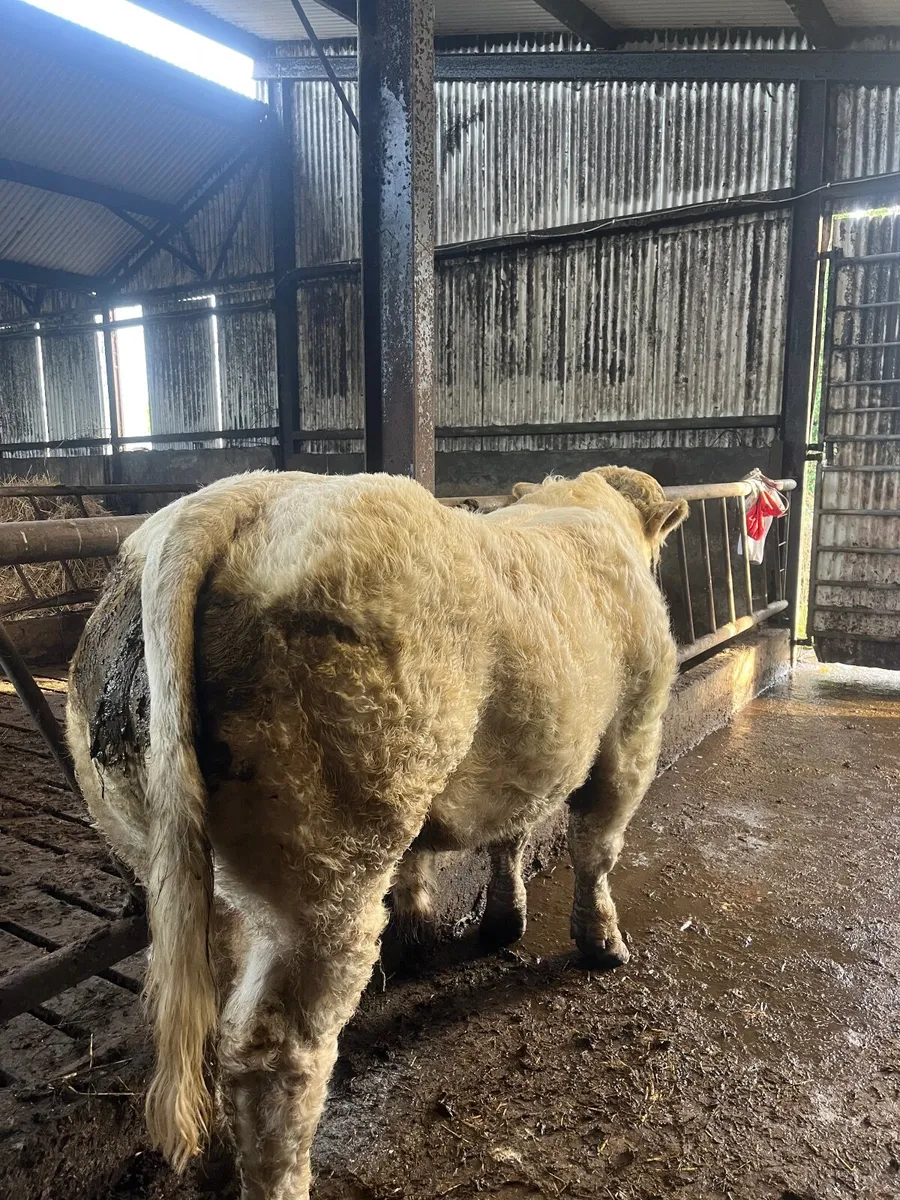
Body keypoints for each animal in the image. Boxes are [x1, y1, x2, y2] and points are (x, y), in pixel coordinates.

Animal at [66, 466, 687, 1200]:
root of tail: (227, 499)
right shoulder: (631, 732)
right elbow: (597, 848)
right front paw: (604, 944)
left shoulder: (528, 758)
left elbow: (506, 837)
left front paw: (495, 923)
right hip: (329, 862)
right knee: (277, 1049)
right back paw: (285, 1178)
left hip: (172, 854)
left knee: (216, 1000)